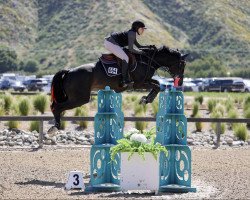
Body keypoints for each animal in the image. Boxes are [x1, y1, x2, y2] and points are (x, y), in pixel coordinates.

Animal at [48, 45, 188, 133]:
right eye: (182, 65)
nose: (180, 82)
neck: (148, 60)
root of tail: (69, 71)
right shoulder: (138, 84)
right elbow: (157, 86)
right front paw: (146, 99)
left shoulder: (145, 81)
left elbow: (157, 84)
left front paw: (146, 99)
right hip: (80, 98)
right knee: (56, 107)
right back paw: (54, 128)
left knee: (55, 106)